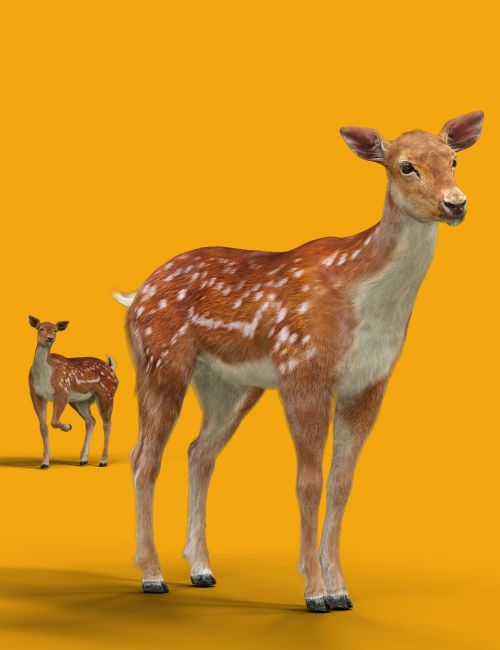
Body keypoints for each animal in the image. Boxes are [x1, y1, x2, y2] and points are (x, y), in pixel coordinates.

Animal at [28, 316, 118, 469]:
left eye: (55, 330)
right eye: (41, 328)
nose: (50, 338)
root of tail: (111, 368)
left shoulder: (62, 390)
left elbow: (54, 421)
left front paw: (68, 426)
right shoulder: (36, 394)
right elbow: (43, 427)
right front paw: (44, 463)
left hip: (106, 393)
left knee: (107, 423)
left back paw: (103, 461)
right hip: (80, 401)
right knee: (91, 420)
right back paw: (83, 459)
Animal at [113, 112, 483, 613]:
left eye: (454, 159)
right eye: (406, 166)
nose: (455, 204)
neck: (365, 301)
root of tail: (136, 297)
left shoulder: (370, 383)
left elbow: (343, 483)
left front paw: (341, 589)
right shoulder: (302, 367)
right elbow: (308, 481)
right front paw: (315, 592)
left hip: (230, 386)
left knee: (199, 452)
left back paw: (201, 569)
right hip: (159, 359)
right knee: (144, 457)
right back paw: (152, 575)